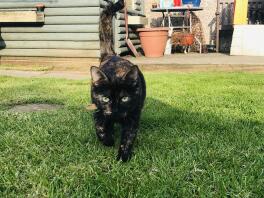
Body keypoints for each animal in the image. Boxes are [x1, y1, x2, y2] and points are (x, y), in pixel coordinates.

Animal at [89, 0, 145, 162]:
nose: (114, 110)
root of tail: (111, 55)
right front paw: (108, 140)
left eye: (124, 98)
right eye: (105, 98)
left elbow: (128, 137)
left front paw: (123, 157)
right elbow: (99, 127)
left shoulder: (133, 115)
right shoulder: (99, 111)